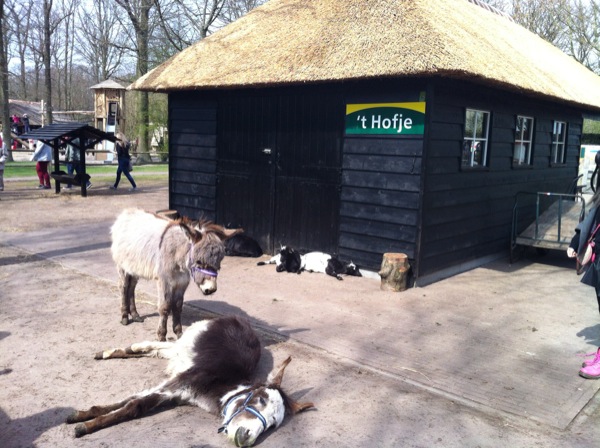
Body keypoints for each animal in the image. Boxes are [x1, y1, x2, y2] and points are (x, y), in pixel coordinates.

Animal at [67, 316, 314, 446]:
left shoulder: (177, 392)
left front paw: (82, 417)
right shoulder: (177, 384)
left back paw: (115, 352)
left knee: (162, 350)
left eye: (272, 424)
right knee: (162, 345)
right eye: (260, 399)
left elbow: (133, 400)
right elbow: (133, 404)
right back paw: (122, 349)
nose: (246, 438)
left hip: (183, 352)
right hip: (190, 339)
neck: (217, 383)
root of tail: (242, 321)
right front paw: (84, 425)